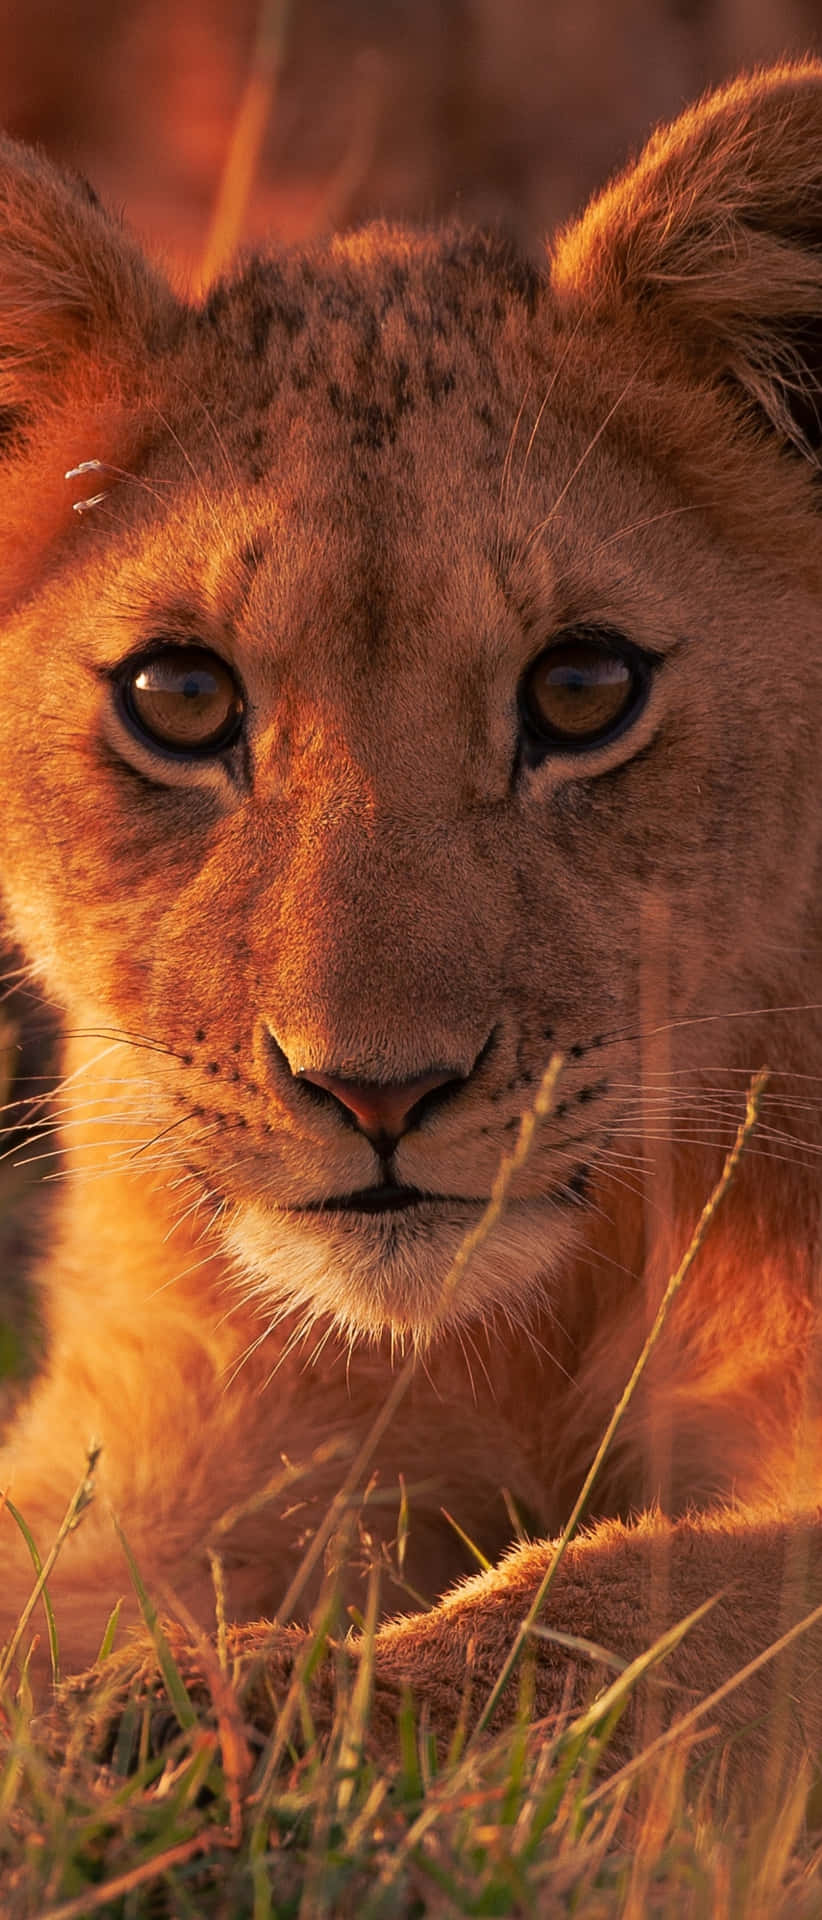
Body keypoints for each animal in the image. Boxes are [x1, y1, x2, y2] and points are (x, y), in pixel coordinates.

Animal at [2, 63, 822, 1774]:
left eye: (581, 692)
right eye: (180, 700)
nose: (378, 1093)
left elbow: (618, 1618)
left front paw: (210, 1722)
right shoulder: (172, 1446)